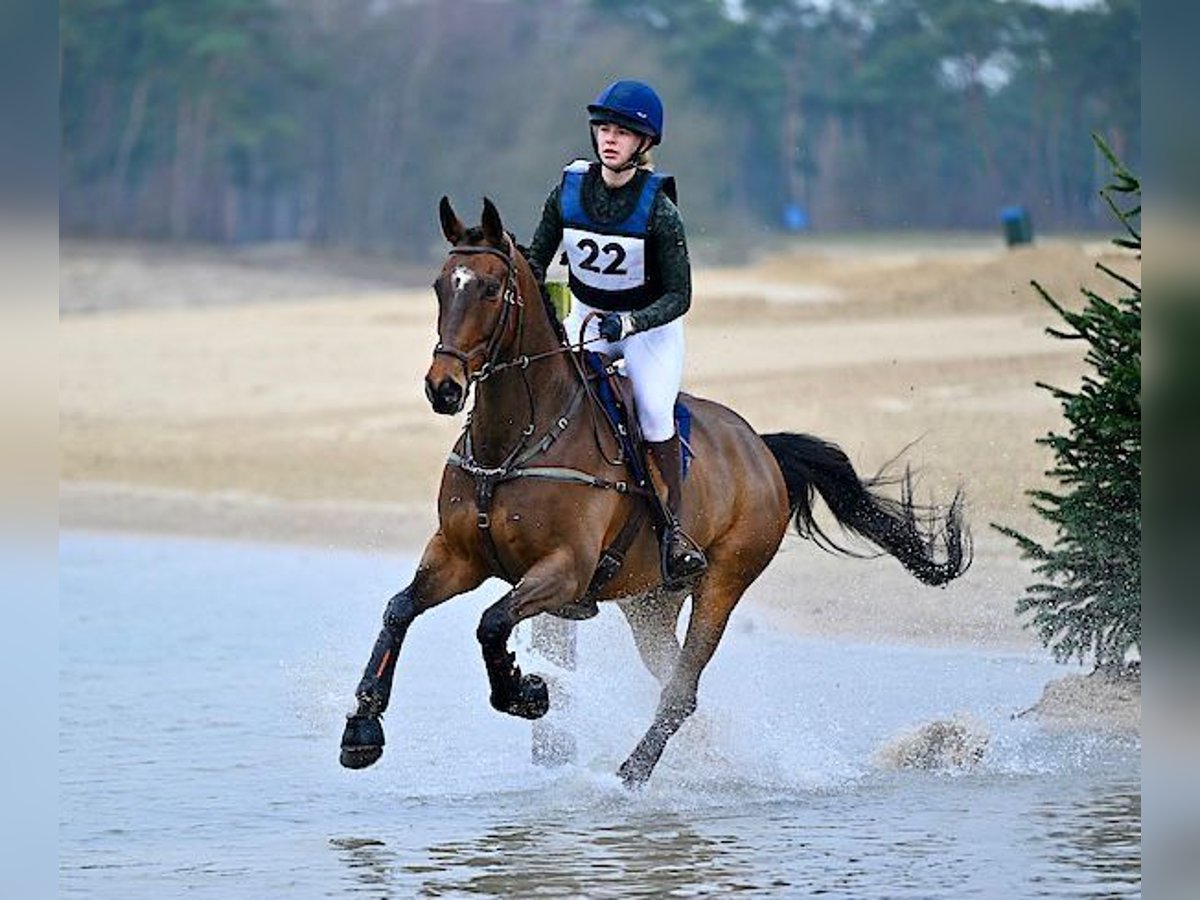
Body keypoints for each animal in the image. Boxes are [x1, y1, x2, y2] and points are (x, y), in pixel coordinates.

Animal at [340, 199, 974, 787]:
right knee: (671, 678)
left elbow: (492, 622)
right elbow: (399, 609)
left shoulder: (563, 570)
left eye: (492, 290)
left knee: (681, 688)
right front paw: (362, 729)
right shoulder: (458, 555)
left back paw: (633, 774)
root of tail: (762, 449)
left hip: (722, 582)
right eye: (441, 286)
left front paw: (526, 692)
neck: (514, 442)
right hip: (649, 602)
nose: (442, 389)